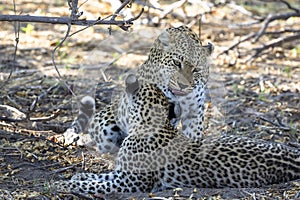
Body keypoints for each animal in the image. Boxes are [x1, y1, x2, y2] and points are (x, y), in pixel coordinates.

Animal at [55, 74, 300, 195]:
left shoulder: (130, 181)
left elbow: (96, 185)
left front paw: (65, 185)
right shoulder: (122, 174)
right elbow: (98, 177)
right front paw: (78, 176)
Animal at [63, 25, 213, 153]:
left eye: (196, 69)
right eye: (176, 63)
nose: (183, 85)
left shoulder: (194, 111)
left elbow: (193, 135)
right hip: (105, 125)